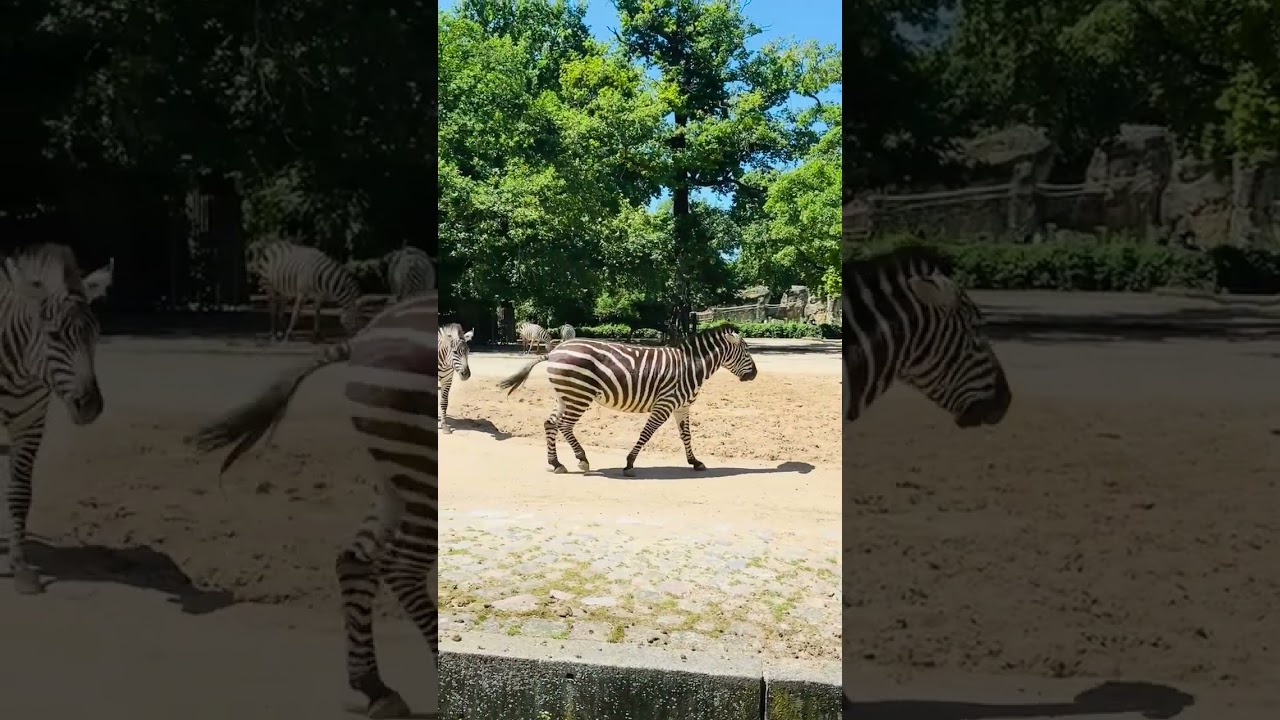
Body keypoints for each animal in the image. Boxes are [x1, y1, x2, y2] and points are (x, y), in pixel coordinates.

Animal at [0, 244, 112, 595]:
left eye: (97, 334)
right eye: (53, 336)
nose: (90, 406)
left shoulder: (31, 423)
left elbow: (20, 493)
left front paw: (20, 567)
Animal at [187, 292, 437, 719]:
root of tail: (364, 337)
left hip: (395, 469)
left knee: (355, 561)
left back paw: (375, 688)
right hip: (421, 470)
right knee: (401, 568)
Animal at [497, 324, 757, 477]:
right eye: (745, 350)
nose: (754, 374)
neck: (691, 366)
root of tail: (554, 351)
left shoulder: (682, 407)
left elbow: (686, 436)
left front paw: (695, 462)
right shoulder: (665, 404)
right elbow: (647, 433)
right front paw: (630, 463)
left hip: (566, 395)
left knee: (550, 423)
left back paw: (556, 463)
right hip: (579, 395)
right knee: (564, 425)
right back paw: (582, 460)